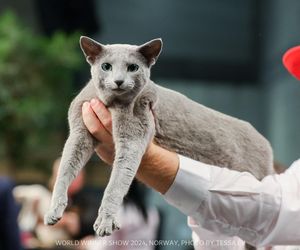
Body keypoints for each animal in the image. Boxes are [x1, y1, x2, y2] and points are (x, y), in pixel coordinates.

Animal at [45, 36, 274, 241]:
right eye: (106, 66)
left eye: (133, 67)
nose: (118, 81)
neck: (112, 105)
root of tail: (267, 147)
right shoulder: (79, 132)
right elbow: (66, 168)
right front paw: (53, 210)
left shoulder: (134, 133)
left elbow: (116, 182)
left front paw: (106, 221)